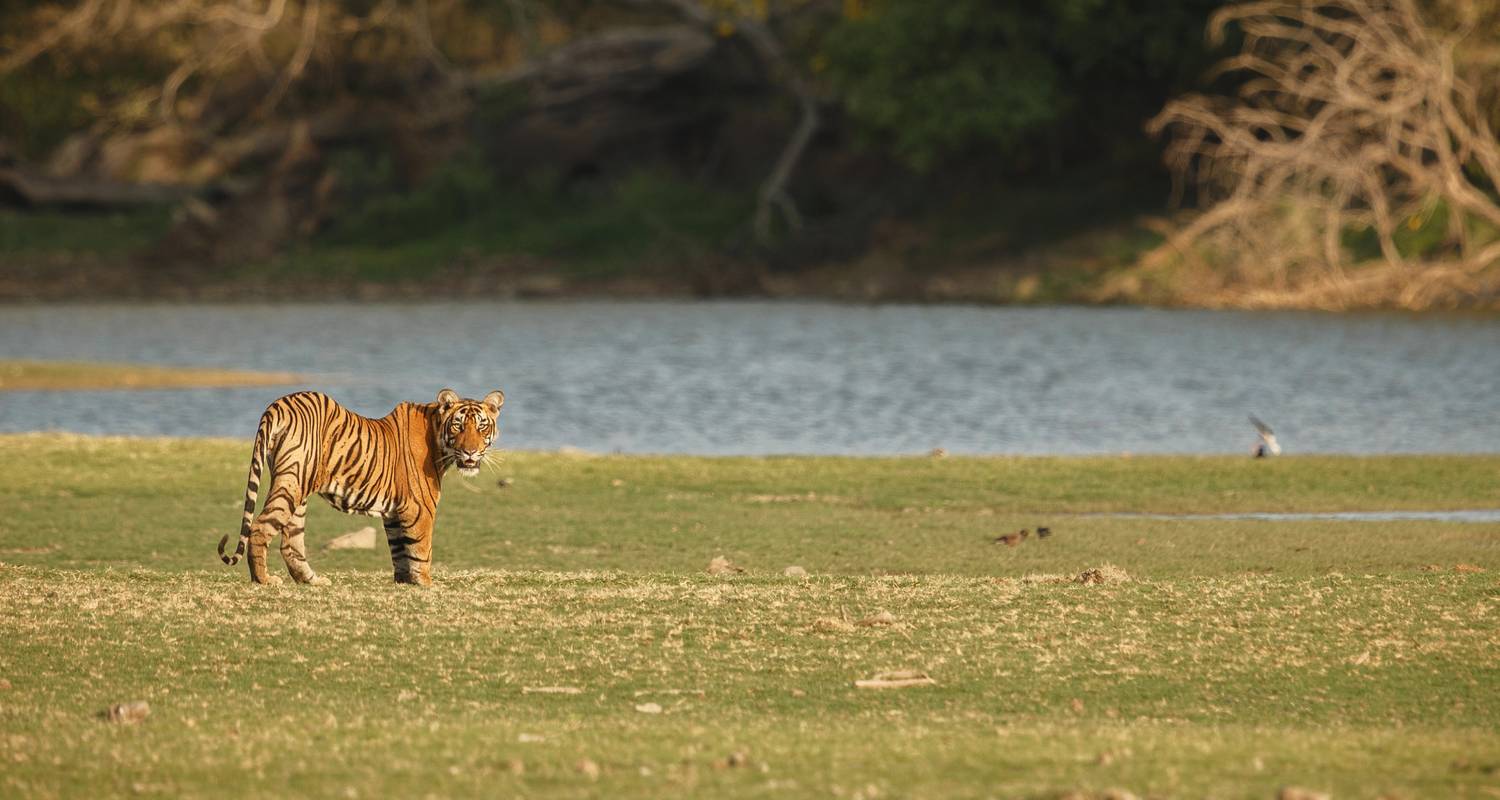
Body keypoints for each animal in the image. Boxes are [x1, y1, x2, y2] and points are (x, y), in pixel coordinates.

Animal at [217, 387, 507, 585]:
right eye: (458, 426)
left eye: (481, 427)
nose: (470, 452)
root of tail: (278, 404)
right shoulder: (420, 508)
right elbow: (421, 551)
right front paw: (426, 584)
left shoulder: (394, 513)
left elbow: (400, 551)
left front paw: (404, 583)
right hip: (293, 481)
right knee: (259, 527)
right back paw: (264, 580)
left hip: (296, 489)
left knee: (291, 542)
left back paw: (312, 581)